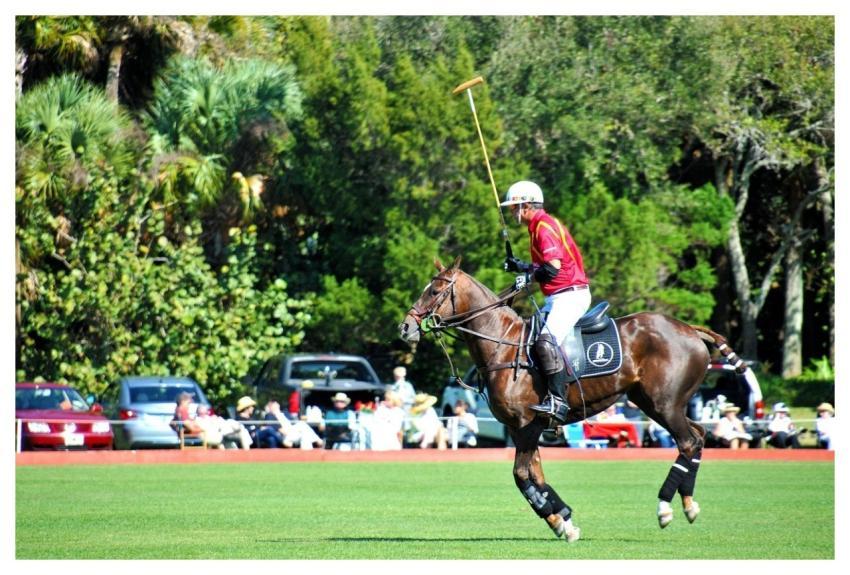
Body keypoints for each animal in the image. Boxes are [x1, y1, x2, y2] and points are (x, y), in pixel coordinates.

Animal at [399, 257, 749, 542]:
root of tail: (690, 329)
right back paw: (689, 504)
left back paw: (665, 507)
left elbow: (521, 476)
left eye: (434, 291)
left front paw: (558, 518)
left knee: (688, 441)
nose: (405, 327)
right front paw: (563, 521)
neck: (503, 346)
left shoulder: (527, 423)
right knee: (698, 435)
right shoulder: (519, 428)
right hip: (655, 402)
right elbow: (535, 475)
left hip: (663, 402)